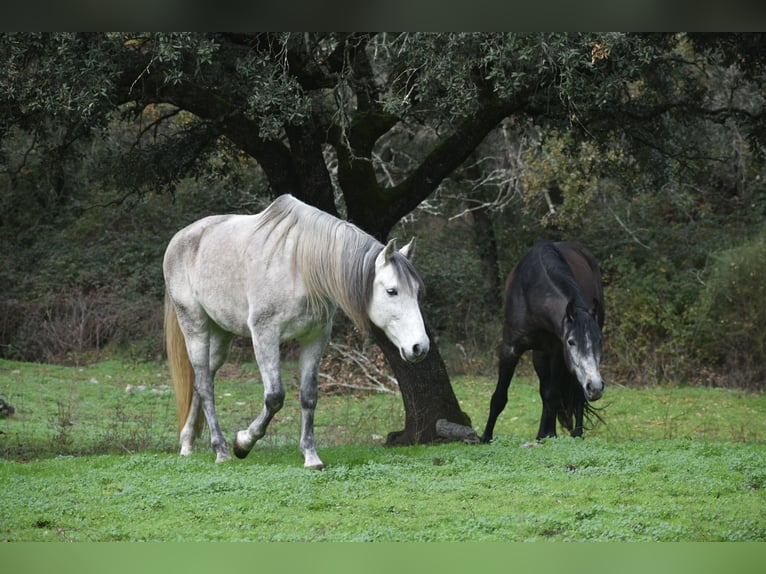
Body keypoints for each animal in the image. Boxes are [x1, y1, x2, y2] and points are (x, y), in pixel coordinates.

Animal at [163, 194, 430, 469]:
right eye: (392, 291)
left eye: (417, 292)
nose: (420, 347)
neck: (300, 266)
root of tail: (179, 238)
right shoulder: (265, 334)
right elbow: (275, 397)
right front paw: (243, 442)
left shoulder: (315, 337)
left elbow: (309, 396)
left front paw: (311, 456)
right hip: (194, 325)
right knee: (205, 384)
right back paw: (221, 450)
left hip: (221, 333)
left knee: (201, 380)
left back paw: (187, 443)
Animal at [480, 239, 605, 444]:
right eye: (571, 342)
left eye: (600, 341)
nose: (595, 387)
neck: (532, 294)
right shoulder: (510, 349)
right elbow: (499, 397)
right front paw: (485, 437)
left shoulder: (556, 352)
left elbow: (553, 395)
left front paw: (550, 435)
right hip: (539, 357)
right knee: (545, 389)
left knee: (574, 393)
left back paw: (575, 434)